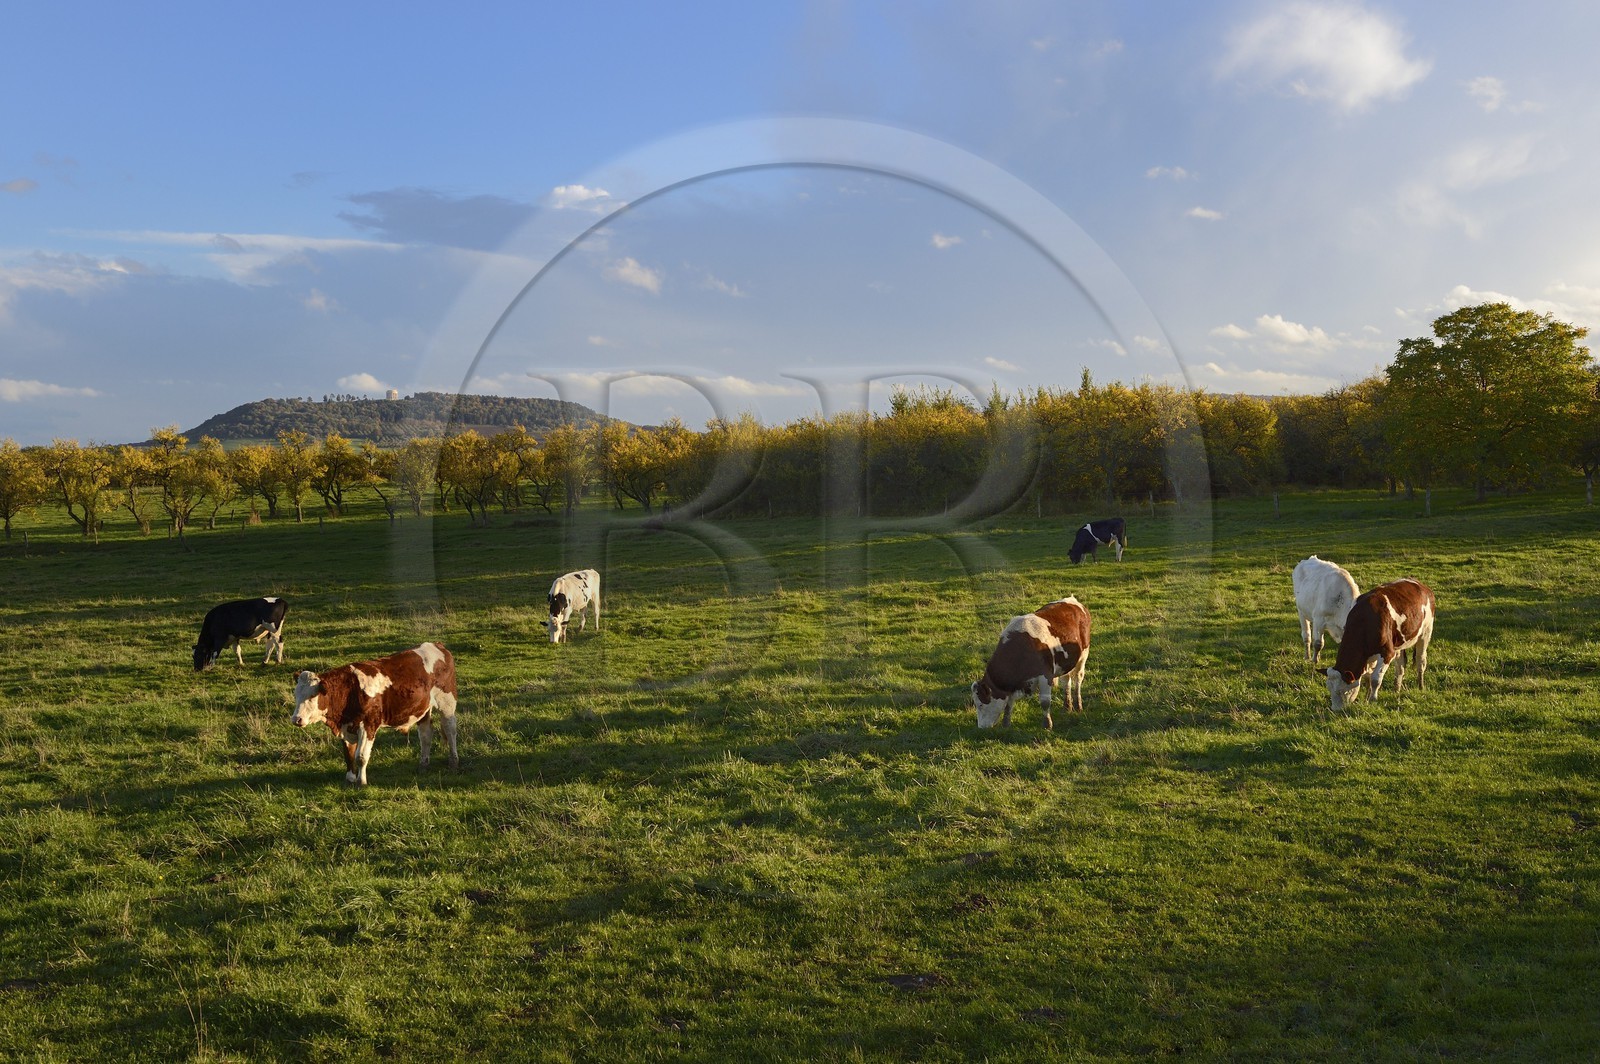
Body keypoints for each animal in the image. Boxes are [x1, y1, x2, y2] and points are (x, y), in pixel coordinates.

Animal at [291, 642, 459, 786]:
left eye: (313, 695)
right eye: (296, 694)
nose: (296, 719)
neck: (351, 689)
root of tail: (437, 645)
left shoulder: (368, 725)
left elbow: (361, 756)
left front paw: (361, 782)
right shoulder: (347, 726)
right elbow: (348, 755)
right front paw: (350, 779)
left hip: (447, 702)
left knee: (450, 730)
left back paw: (453, 762)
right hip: (422, 709)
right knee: (425, 735)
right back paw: (423, 765)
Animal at [971, 596, 1091, 730]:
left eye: (980, 704)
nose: (981, 727)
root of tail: (1073, 600)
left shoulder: (1045, 676)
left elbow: (1045, 702)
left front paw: (1047, 725)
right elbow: (1008, 704)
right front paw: (1006, 724)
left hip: (1083, 656)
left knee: (1078, 678)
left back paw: (1078, 705)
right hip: (1066, 662)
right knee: (1066, 681)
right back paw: (1067, 707)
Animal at [1325, 579, 1435, 715]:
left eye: (1343, 691)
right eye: (1329, 689)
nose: (1335, 710)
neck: (1364, 621)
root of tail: (1422, 586)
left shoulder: (1387, 653)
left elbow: (1375, 679)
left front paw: (1373, 699)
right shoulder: (1368, 656)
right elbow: (1367, 678)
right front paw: (1366, 699)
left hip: (1425, 633)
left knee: (1420, 661)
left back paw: (1420, 686)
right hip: (1399, 644)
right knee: (1400, 665)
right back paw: (1396, 689)